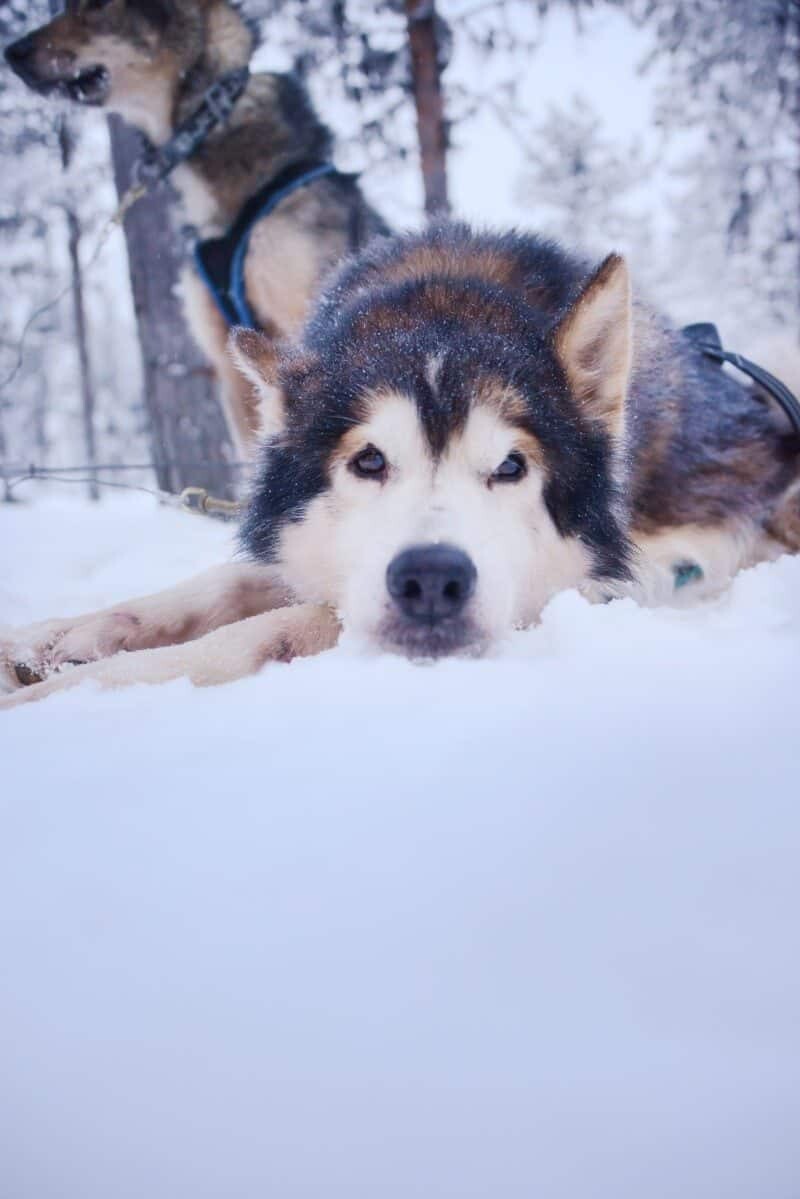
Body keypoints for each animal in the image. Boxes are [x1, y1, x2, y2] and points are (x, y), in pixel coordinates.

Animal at [1, 225, 800, 705]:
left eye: (511, 466)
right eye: (369, 460)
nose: (432, 579)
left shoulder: (605, 585)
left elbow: (276, 624)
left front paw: (60, 693)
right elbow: (222, 584)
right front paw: (54, 639)